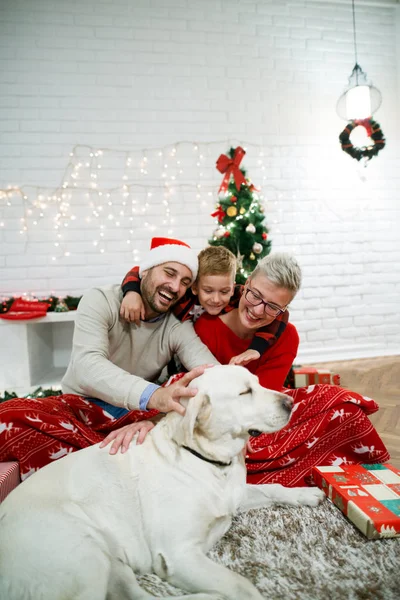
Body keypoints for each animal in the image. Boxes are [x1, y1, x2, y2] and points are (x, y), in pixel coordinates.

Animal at [0, 366, 324, 600]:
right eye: (245, 392)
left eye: (258, 383)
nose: (290, 402)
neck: (209, 463)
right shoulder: (179, 554)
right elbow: (242, 586)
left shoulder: (237, 496)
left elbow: (274, 487)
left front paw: (307, 494)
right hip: (85, 554)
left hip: (111, 563)